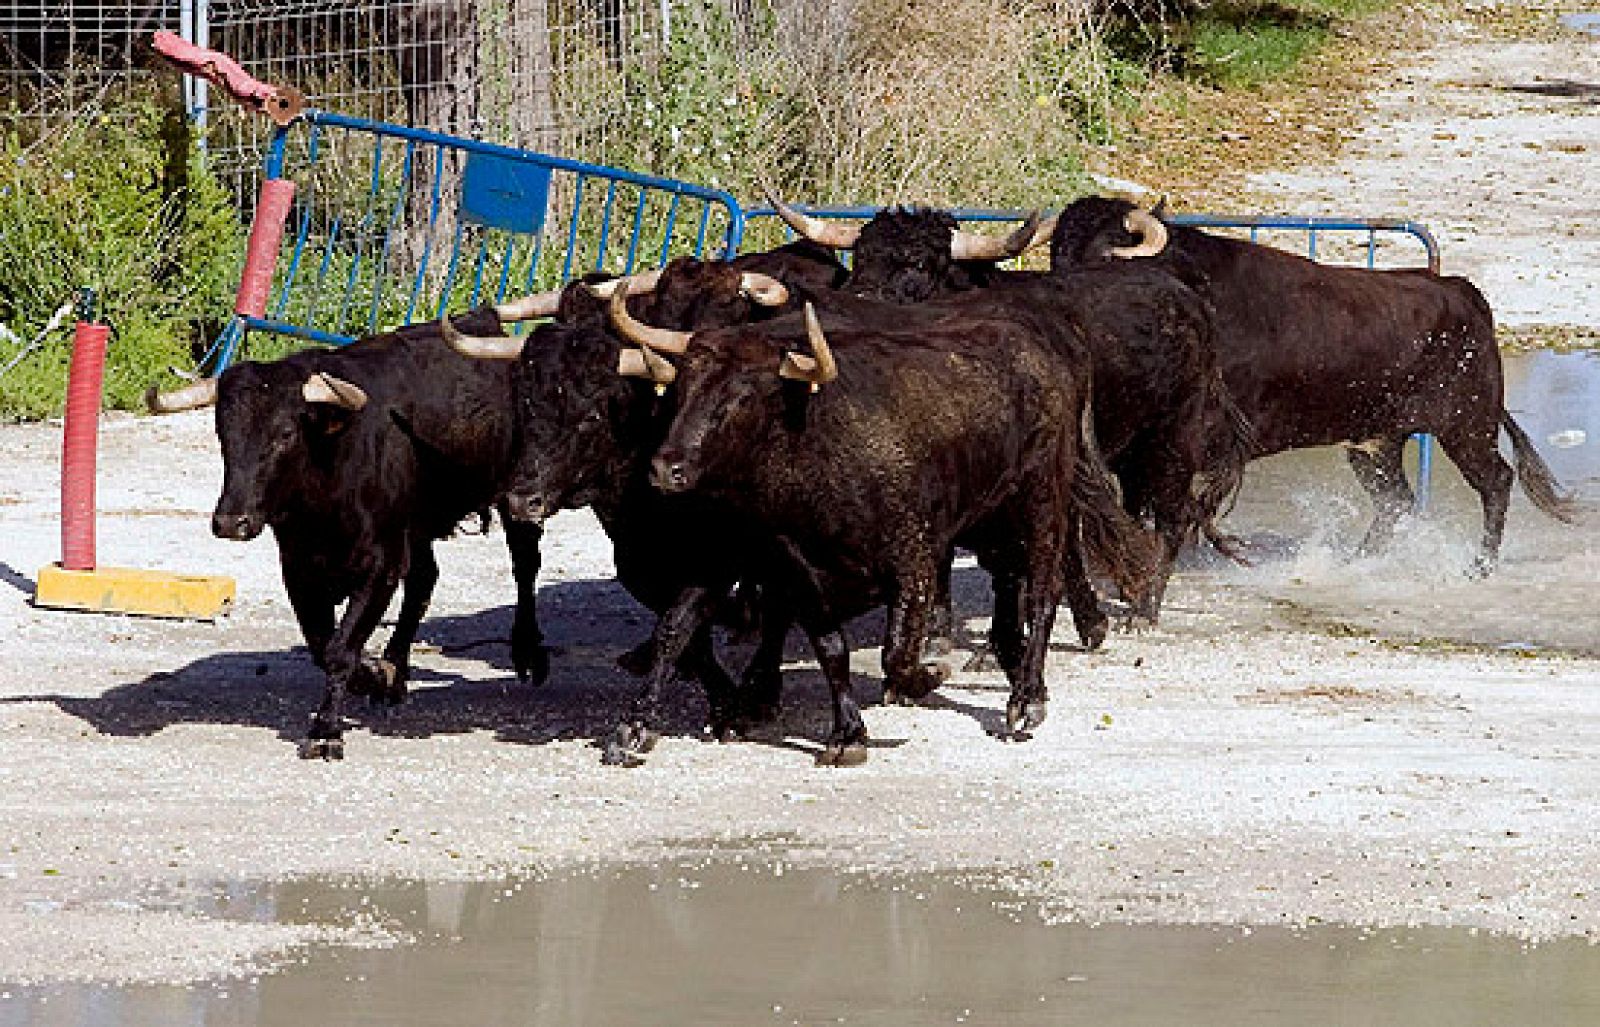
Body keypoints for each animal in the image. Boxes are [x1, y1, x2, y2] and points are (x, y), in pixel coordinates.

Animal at [1049, 195, 1574, 572]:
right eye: (1056, 257)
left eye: (1102, 257)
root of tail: (1460, 292)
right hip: (1378, 442)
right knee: (1396, 502)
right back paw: (1359, 561)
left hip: (1466, 425)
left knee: (1496, 482)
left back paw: (1479, 566)